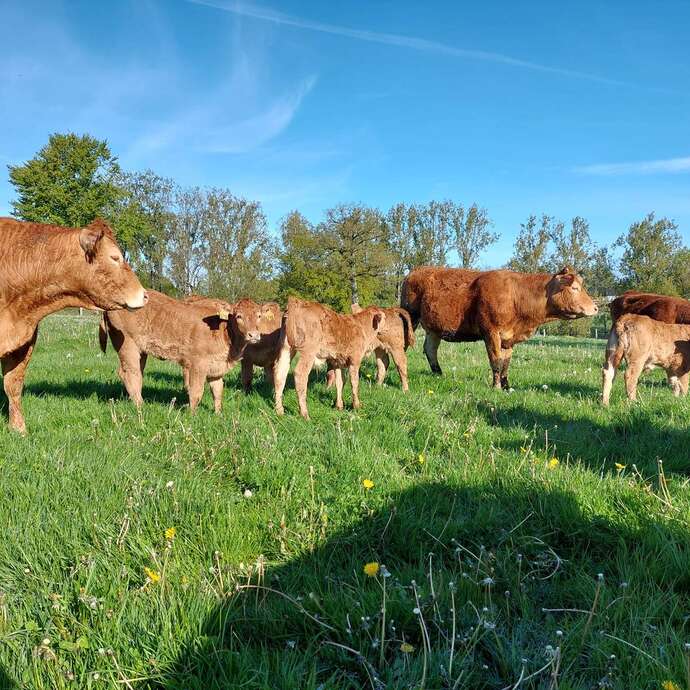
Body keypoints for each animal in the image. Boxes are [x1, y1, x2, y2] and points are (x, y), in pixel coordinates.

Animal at [99, 288, 272, 408]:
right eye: (238, 316)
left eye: (259, 316)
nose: (253, 335)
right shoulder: (197, 364)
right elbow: (196, 392)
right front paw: (192, 415)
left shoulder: (217, 365)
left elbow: (217, 391)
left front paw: (218, 414)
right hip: (127, 345)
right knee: (128, 373)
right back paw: (140, 406)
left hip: (141, 350)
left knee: (137, 374)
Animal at [400, 264, 592, 388]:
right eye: (574, 288)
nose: (595, 307)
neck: (517, 296)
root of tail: (414, 271)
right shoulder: (491, 332)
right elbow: (496, 361)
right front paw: (497, 387)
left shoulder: (509, 338)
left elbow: (506, 363)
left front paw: (507, 386)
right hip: (411, 317)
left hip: (435, 328)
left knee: (430, 349)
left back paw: (439, 374)